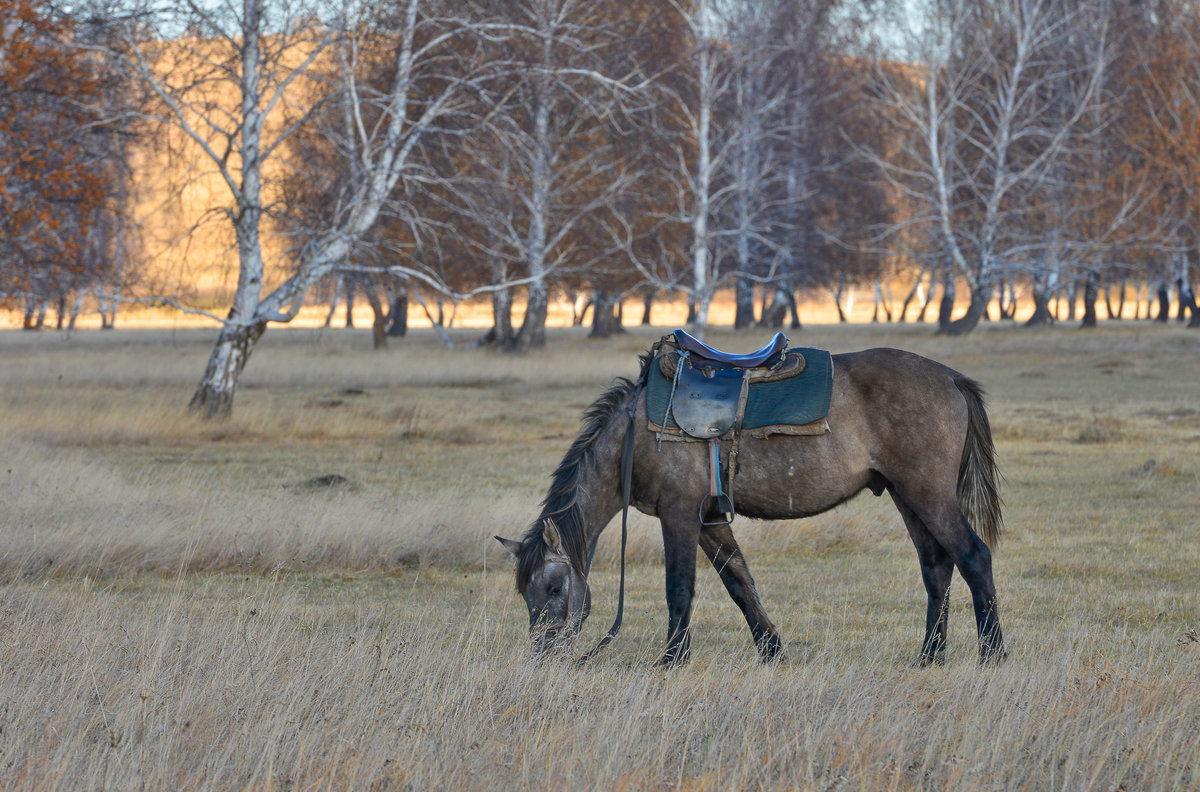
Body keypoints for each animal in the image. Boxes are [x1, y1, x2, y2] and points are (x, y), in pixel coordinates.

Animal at [494, 343, 1003, 667]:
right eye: (525, 593)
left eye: (555, 587)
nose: (544, 657)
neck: (633, 438)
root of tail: (950, 378)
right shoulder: (709, 520)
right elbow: (740, 584)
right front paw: (772, 652)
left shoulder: (679, 514)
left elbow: (680, 588)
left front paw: (671, 660)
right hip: (906, 494)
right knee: (936, 566)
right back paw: (930, 657)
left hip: (927, 493)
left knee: (973, 556)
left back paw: (992, 653)